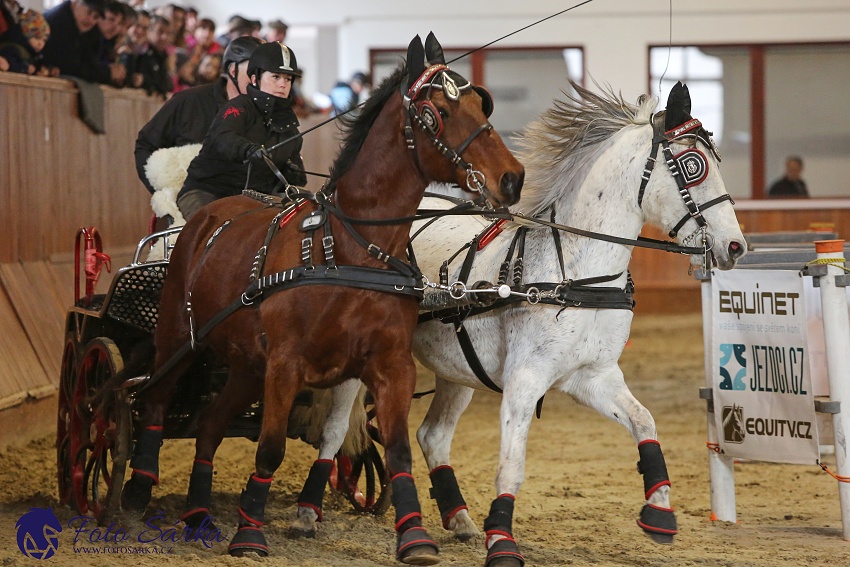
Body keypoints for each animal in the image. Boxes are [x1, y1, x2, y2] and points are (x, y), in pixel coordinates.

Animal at [116, 33, 520, 564]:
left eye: (480, 102)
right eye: (438, 113)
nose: (512, 178)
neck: (347, 248)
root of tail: (206, 218)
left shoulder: (391, 364)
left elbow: (397, 449)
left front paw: (415, 537)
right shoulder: (286, 364)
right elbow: (269, 448)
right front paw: (250, 535)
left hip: (246, 366)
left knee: (209, 425)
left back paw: (199, 513)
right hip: (178, 340)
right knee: (156, 402)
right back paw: (137, 493)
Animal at [292, 81, 744, 567]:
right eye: (693, 165)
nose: (736, 246)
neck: (573, 276)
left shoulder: (592, 376)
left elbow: (645, 423)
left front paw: (659, 513)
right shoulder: (525, 381)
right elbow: (512, 466)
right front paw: (502, 541)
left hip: (458, 368)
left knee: (433, 436)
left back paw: (460, 519)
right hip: (360, 362)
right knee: (335, 430)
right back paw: (307, 512)